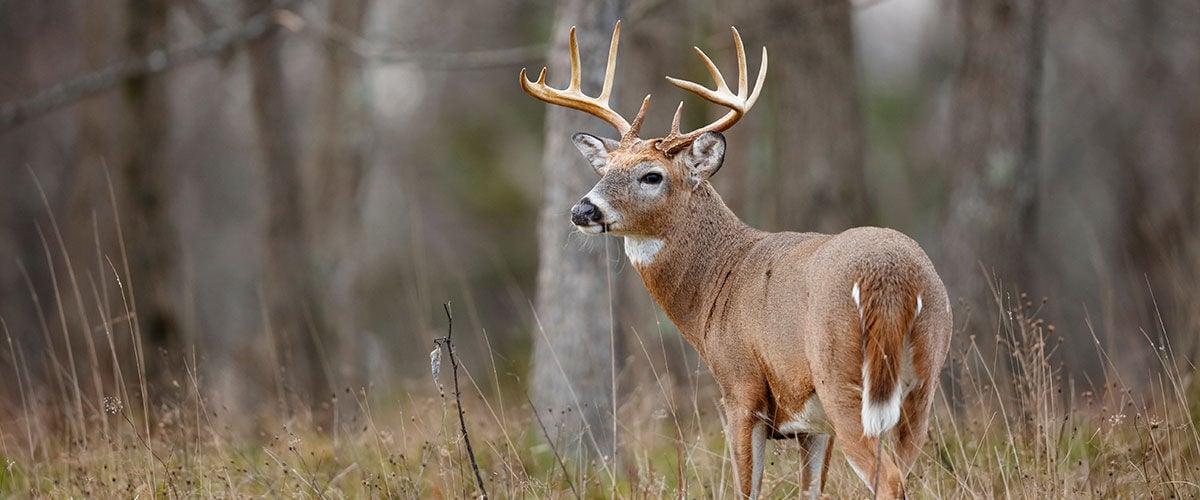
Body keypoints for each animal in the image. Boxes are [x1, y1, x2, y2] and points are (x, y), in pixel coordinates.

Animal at [521, 22, 952, 499]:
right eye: (606, 169)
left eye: (651, 175)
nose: (583, 210)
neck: (718, 282)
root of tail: (891, 277)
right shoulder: (812, 424)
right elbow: (810, 490)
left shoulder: (740, 386)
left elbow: (746, 488)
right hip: (923, 380)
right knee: (905, 467)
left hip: (842, 376)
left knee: (888, 478)